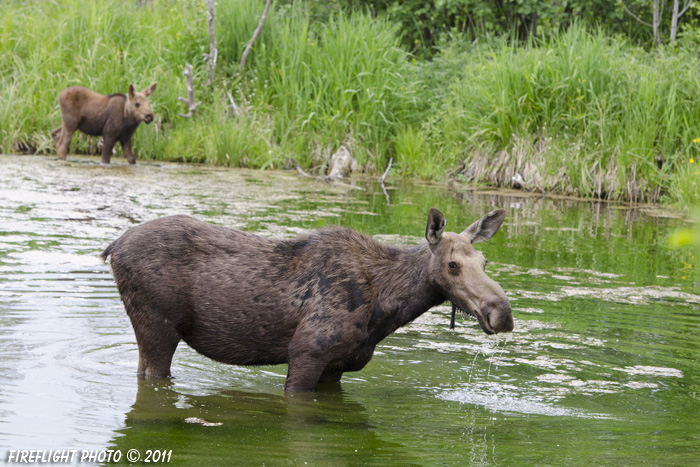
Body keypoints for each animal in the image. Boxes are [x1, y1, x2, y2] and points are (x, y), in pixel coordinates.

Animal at [101, 207, 512, 392]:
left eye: (485, 261)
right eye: (453, 264)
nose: (502, 313)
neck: (386, 309)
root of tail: (113, 247)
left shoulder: (338, 366)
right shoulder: (306, 353)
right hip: (156, 327)